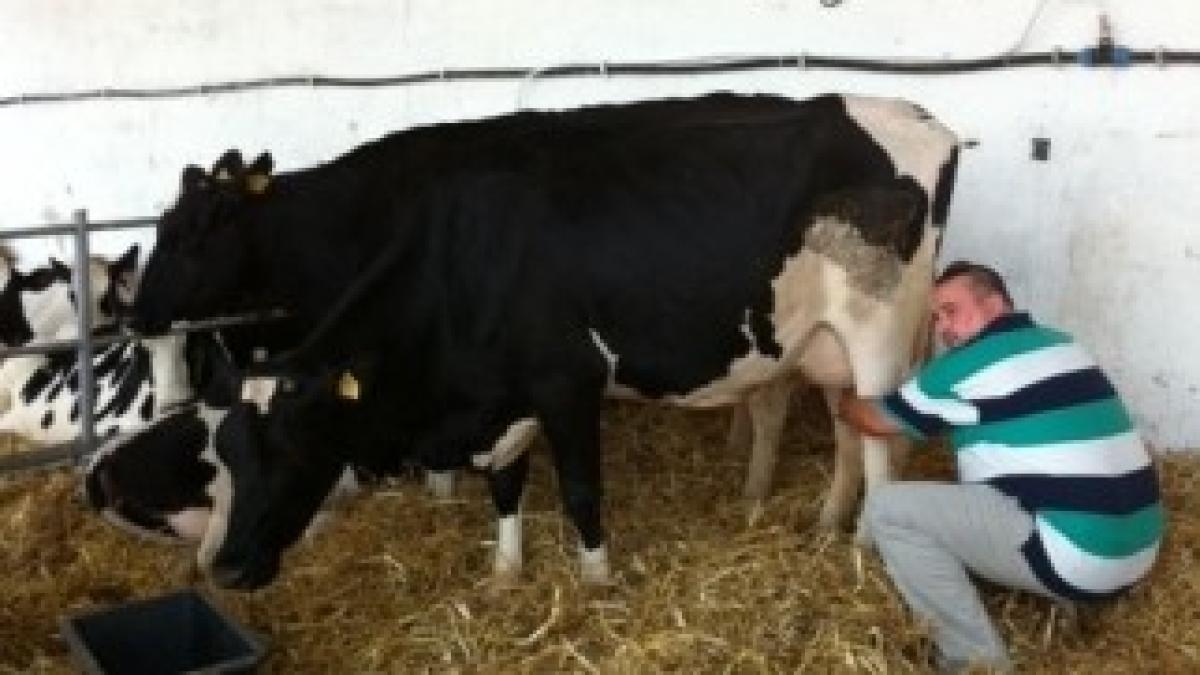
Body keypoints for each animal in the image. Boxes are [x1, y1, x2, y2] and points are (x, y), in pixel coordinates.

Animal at [132, 92, 959, 589]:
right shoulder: (501, 396)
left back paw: (867, 547)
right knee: (844, 432)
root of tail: (910, 113)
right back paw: (825, 523)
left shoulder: (568, 386)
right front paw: (505, 569)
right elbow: (506, 484)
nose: (226, 569)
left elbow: (580, 489)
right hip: (822, 344)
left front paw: (595, 581)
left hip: (879, 338)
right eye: (227, 453)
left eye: (292, 450)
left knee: (881, 445)